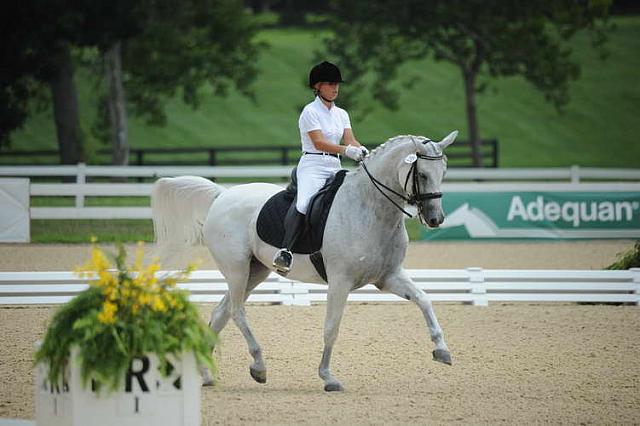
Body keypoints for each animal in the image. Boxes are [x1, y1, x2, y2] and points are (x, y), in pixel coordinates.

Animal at [152, 131, 458, 392]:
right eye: (421, 173)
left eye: (443, 172)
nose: (435, 219)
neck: (371, 208)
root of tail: (222, 195)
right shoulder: (340, 281)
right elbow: (331, 328)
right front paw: (328, 377)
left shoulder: (388, 276)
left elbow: (424, 299)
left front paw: (442, 350)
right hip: (236, 269)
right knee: (237, 312)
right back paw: (259, 367)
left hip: (255, 272)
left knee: (221, 313)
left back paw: (206, 375)